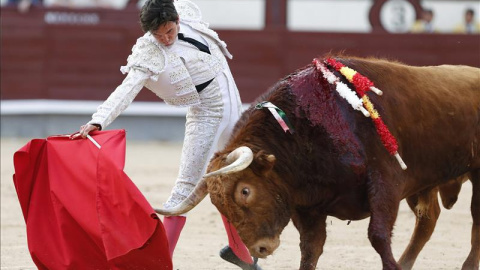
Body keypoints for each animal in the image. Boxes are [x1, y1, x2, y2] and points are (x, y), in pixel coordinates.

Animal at [158, 56, 480, 270]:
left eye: (245, 191)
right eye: (217, 204)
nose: (259, 248)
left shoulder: (385, 183)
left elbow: (377, 235)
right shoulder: (308, 205)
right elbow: (310, 248)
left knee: (474, 221)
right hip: (425, 182)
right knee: (428, 219)